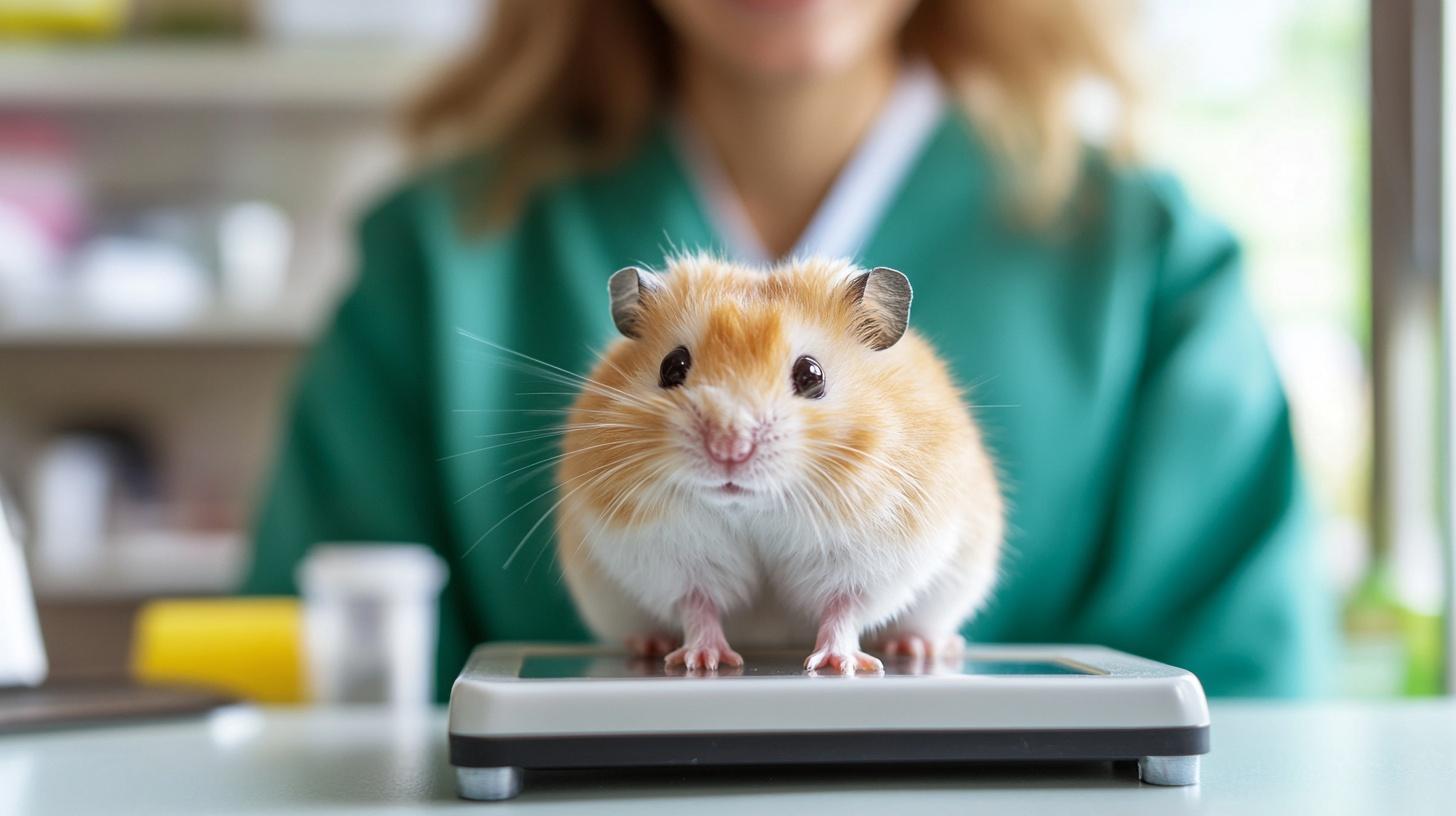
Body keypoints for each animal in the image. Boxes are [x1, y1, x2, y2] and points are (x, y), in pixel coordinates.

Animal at [555, 255, 1003, 674]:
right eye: (672, 367)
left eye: (812, 374)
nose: (729, 448)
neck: (753, 508)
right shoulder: (667, 555)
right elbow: (698, 606)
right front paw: (703, 661)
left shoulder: (871, 555)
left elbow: (843, 608)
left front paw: (838, 664)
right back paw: (649, 644)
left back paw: (917, 645)